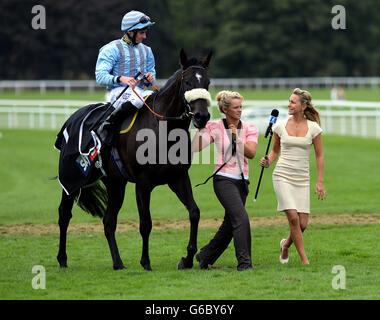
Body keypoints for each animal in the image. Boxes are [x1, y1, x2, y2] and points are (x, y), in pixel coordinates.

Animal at [56, 49, 212, 270]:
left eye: (207, 82)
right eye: (188, 82)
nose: (202, 116)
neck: (163, 129)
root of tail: (73, 116)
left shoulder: (178, 178)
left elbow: (194, 213)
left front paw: (188, 258)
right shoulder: (143, 184)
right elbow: (146, 223)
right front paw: (145, 262)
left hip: (115, 184)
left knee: (108, 221)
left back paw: (118, 263)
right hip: (72, 177)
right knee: (64, 215)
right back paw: (62, 259)